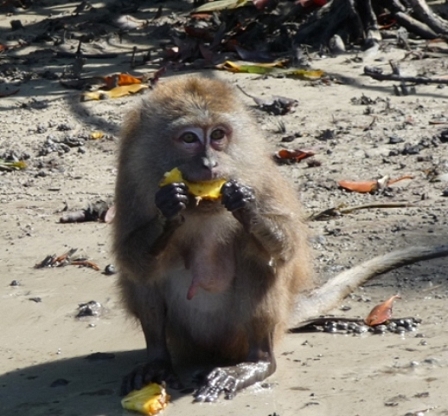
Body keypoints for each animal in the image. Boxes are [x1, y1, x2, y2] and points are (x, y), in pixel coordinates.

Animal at [113, 75, 448, 404]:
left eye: (218, 134)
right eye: (189, 138)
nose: (210, 164)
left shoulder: (258, 174)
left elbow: (285, 247)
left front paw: (246, 207)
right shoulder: (132, 176)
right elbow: (130, 258)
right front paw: (169, 206)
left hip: (241, 335)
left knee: (257, 261)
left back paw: (258, 362)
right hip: (185, 338)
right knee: (144, 276)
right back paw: (158, 361)